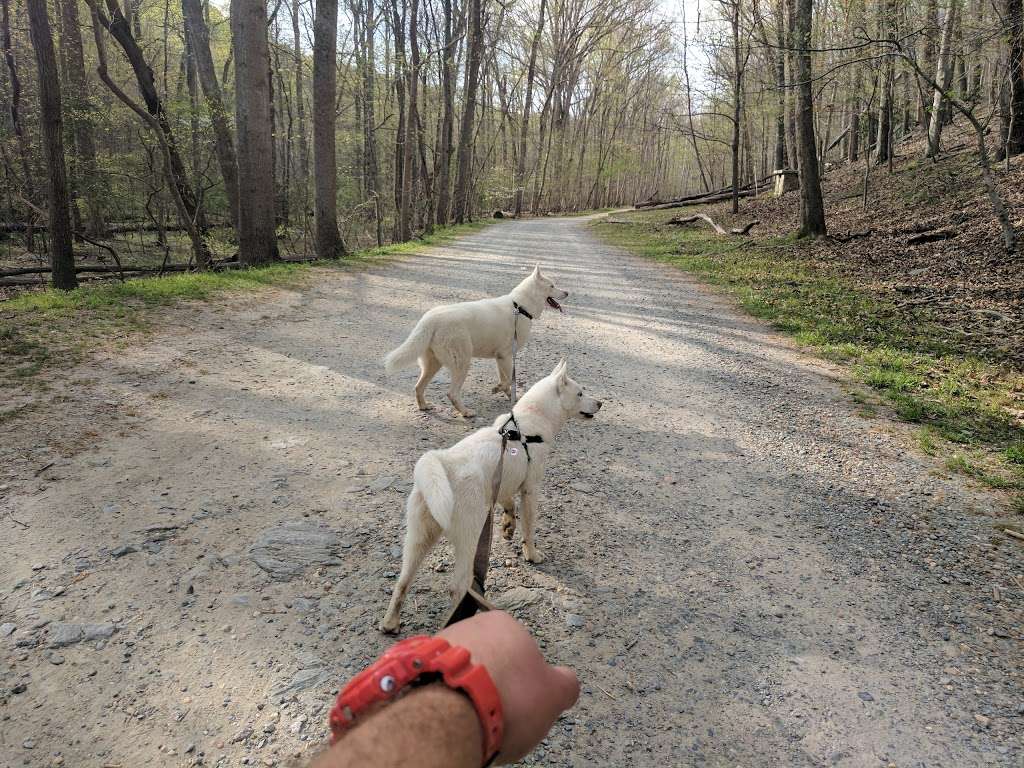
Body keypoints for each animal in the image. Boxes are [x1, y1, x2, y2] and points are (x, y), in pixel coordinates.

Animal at [382, 266, 569, 421]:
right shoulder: (506, 356)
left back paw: (424, 406)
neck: (520, 307)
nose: (567, 292)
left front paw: (510, 396)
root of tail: (430, 319)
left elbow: (506, 380)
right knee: (452, 393)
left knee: (418, 387)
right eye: (552, 285)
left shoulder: (500, 358)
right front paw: (498, 389)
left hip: (433, 365)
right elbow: (508, 380)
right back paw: (466, 412)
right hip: (462, 363)